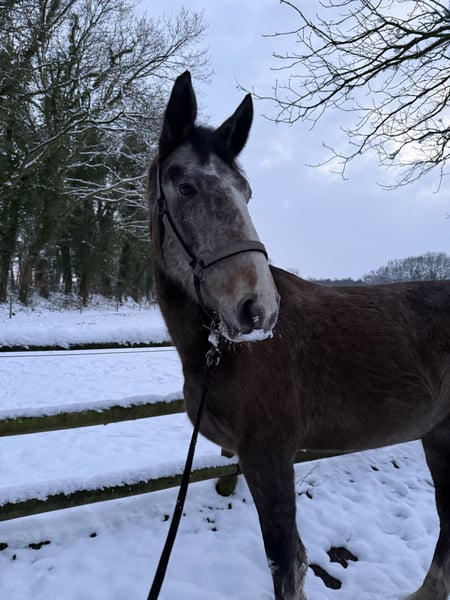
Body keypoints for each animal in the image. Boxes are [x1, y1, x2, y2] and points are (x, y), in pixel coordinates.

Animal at [148, 71, 450, 600]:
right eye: (185, 187)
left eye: (246, 192)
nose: (259, 308)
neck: (222, 356)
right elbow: (296, 562)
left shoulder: (268, 457)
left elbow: (284, 566)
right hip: (439, 435)